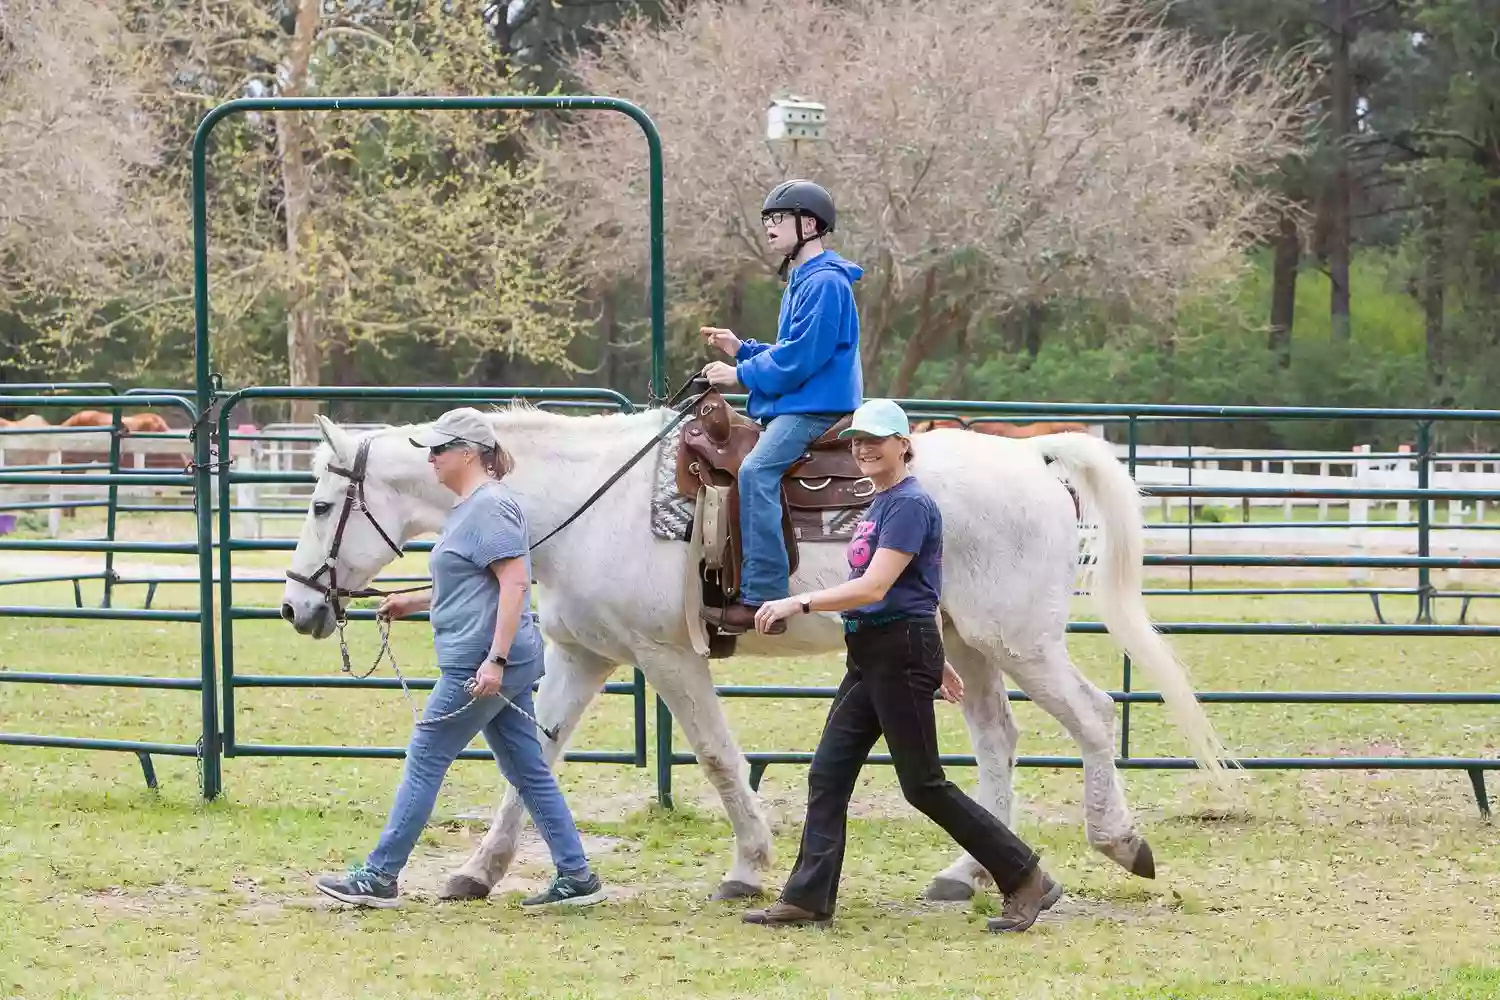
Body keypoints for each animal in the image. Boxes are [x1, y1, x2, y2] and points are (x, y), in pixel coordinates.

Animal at [282, 401, 1230, 905]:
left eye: (323, 502)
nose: (295, 606)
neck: (580, 502)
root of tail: (1030, 457)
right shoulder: (581, 657)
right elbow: (534, 761)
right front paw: (479, 871)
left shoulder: (668, 658)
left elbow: (713, 756)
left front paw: (747, 866)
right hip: (971, 643)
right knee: (999, 741)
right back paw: (964, 873)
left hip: (1019, 640)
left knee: (1093, 716)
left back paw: (1120, 840)